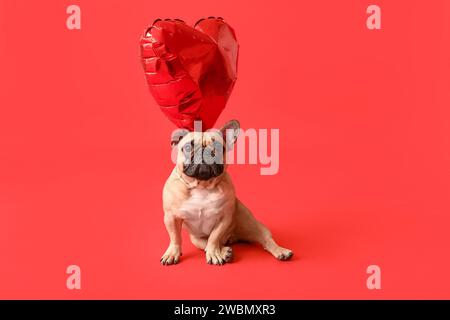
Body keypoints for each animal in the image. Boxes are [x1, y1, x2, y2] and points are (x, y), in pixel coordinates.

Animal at [160, 120, 294, 264]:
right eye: (187, 147)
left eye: (219, 147)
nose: (205, 151)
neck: (202, 186)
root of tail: (232, 238)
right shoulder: (171, 217)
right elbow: (175, 238)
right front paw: (172, 253)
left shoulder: (224, 218)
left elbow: (214, 237)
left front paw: (214, 253)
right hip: (195, 239)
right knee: (208, 244)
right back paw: (225, 252)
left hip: (252, 225)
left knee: (266, 239)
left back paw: (281, 251)